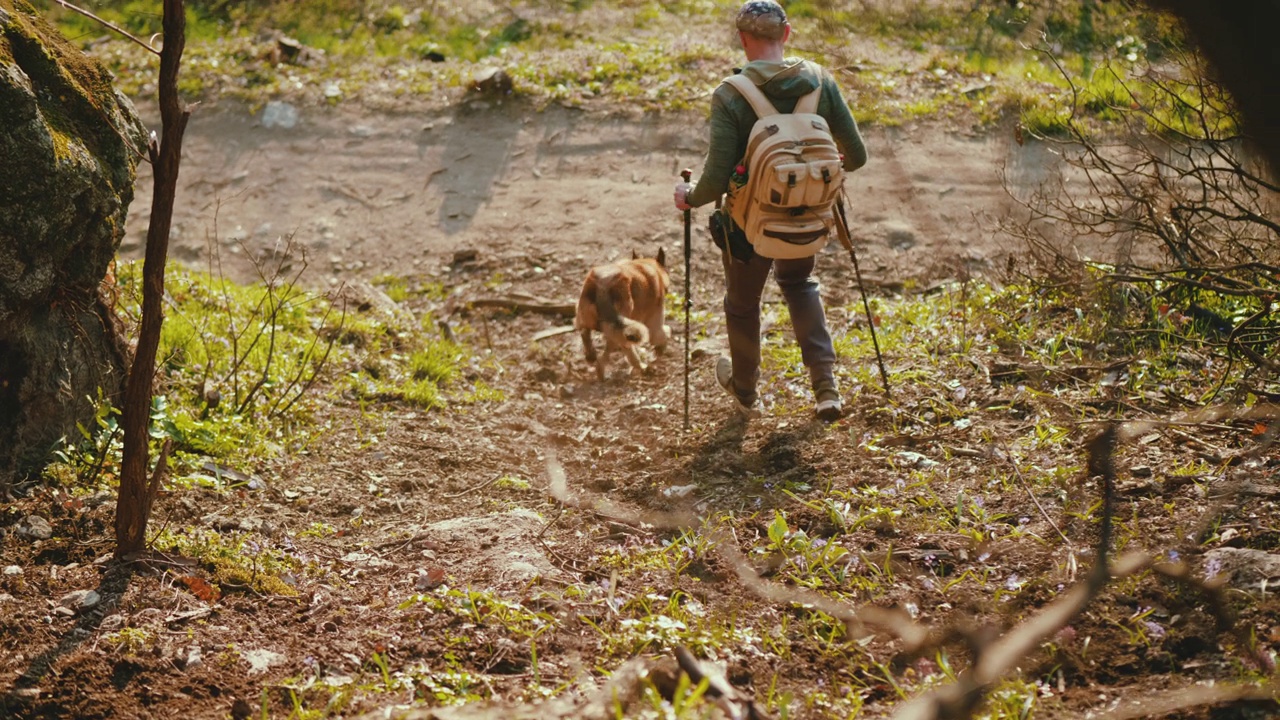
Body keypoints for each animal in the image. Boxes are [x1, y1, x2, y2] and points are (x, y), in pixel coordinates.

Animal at [573, 248, 670, 381]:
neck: (647, 264)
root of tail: (603, 285)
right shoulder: (654, 324)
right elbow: (664, 333)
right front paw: (660, 349)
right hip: (621, 332)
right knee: (609, 356)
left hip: (589, 319)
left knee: (585, 333)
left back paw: (591, 355)